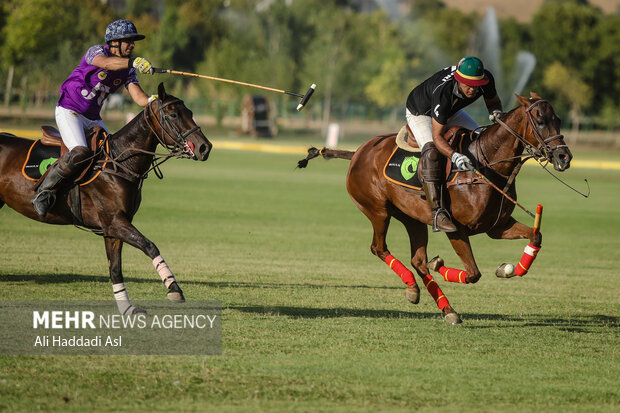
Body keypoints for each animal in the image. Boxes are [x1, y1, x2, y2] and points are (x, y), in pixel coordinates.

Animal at [0, 82, 213, 312]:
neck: (120, 161)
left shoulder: (113, 229)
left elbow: (115, 268)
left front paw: (127, 309)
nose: (205, 147)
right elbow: (149, 245)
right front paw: (174, 288)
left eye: (190, 112)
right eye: (173, 114)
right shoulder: (114, 222)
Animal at [300, 93, 572, 326]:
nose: (564, 157)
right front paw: (438, 264)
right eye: (540, 121)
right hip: (377, 210)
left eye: (558, 120)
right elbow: (473, 273)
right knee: (379, 247)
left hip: (413, 218)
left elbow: (535, 235)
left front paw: (508, 270)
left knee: (417, 261)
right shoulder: (456, 228)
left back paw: (442, 306)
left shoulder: (497, 227)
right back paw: (415, 287)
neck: (486, 166)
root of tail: (358, 152)